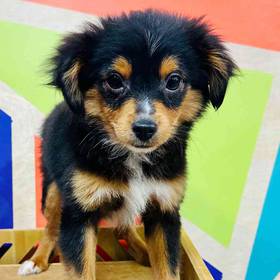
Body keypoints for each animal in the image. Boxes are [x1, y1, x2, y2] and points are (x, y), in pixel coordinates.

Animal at [18, 9, 236, 280]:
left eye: (174, 81)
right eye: (114, 80)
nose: (144, 129)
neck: (132, 157)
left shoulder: (165, 209)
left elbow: (168, 267)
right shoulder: (80, 212)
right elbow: (81, 267)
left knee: (122, 227)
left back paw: (143, 253)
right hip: (53, 189)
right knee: (50, 228)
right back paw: (36, 261)